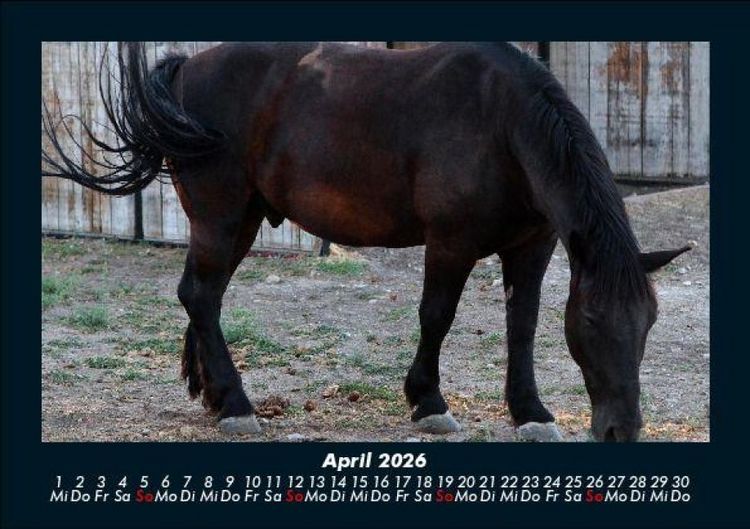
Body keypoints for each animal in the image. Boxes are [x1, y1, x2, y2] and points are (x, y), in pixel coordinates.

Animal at [42, 42, 689, 442]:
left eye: (649, 323)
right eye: (594, 322)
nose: (621, 430)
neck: (502, 123)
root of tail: (184, 71)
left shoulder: (533, 247)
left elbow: (523, 325)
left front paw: (529, 412)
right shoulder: (449, 244)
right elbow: (437, 316)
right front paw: (428, 403)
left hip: (241, 222)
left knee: (204, 296)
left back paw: (213, 394)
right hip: (220, 217)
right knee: (200, 295)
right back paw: (237, 406)